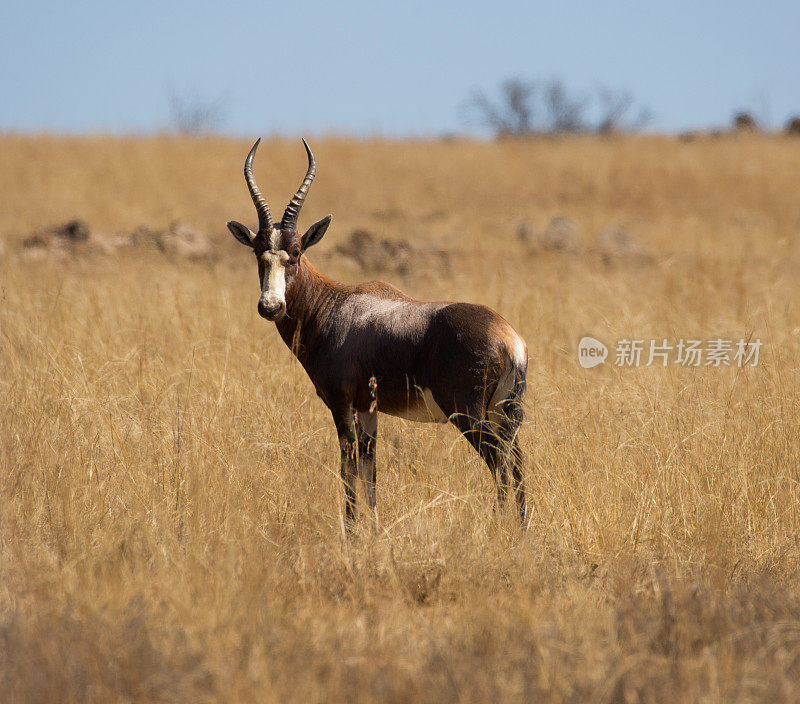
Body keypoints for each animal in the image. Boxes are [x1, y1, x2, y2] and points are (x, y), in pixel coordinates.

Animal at [225, 138, 528, 524]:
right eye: (258, 252)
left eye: (295, 252)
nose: (270, 306)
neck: (335, 304)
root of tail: (509, 339)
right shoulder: (369, 410)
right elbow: (370, 472)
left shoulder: (342, 405)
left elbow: (348, 468)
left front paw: (351, 531)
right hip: (503, 414)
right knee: (516, 464)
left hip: (470, 416)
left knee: (501, 466)